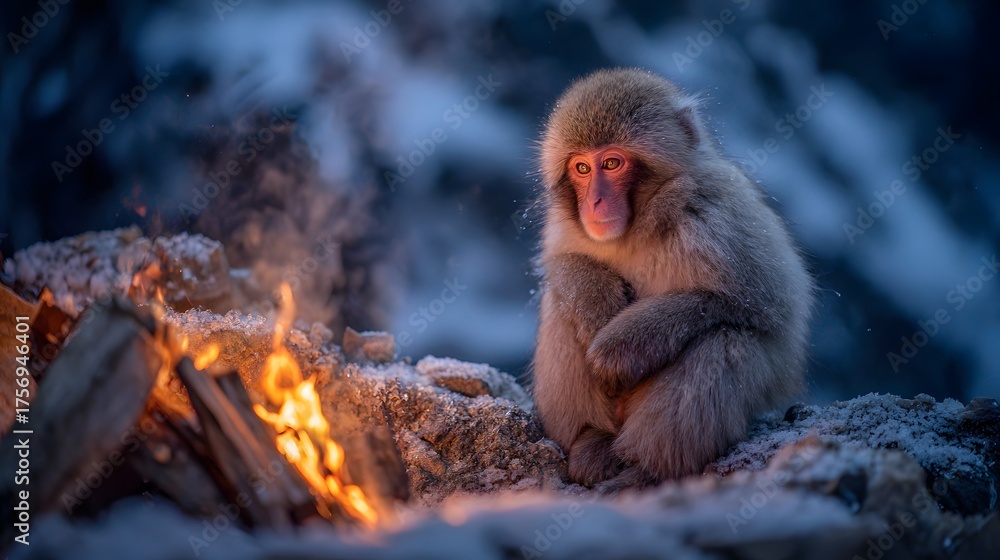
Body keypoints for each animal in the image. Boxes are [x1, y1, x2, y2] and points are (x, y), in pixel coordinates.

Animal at [531, 68, 814, 488]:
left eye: (611, 163)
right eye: (582, 169)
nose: (594, 202)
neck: (642, 224)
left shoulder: (718, 214)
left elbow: (763, 308)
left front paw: (618, 348)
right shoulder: (567, 227)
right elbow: (563, 263)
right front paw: (594, 300)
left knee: (724, 341)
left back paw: (645, 470)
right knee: (560, 306)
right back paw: (592, 439)